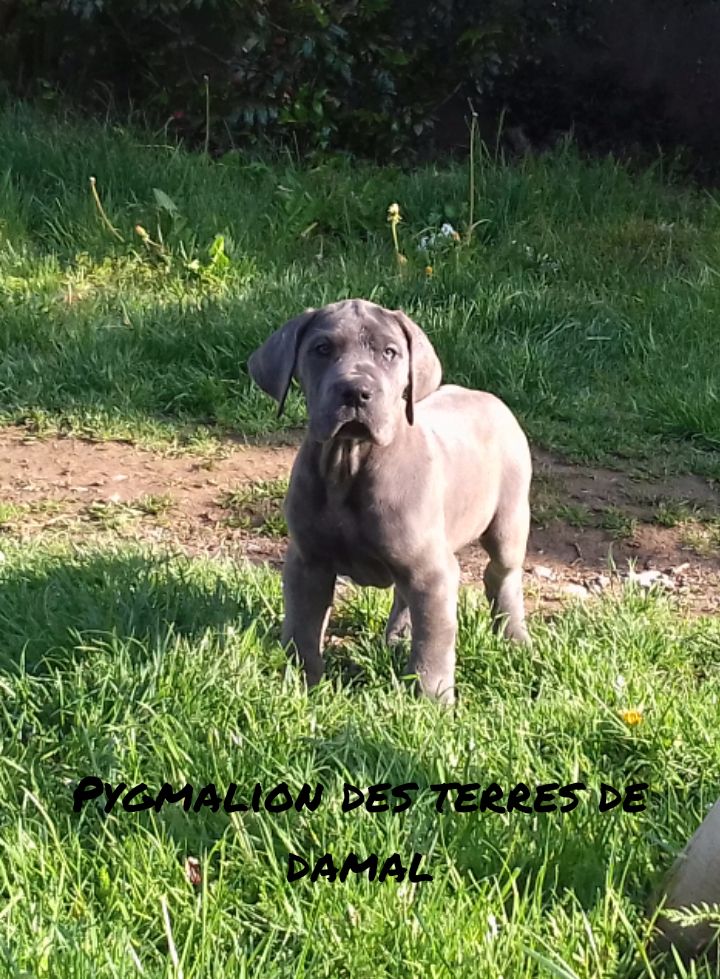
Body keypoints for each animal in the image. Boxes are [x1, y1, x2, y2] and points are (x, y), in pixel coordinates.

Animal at [248, 299, 532, 703]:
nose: (355, 391)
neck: (349, 463)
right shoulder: (307, 562)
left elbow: (434, 640)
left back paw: (514, 639)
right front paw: (303, 683)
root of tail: (487, 397)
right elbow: (303, 628)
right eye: (322, 349)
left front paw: (432, 699)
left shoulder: (433, 572)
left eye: (389, 352)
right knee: (404, 592)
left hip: (508, 518)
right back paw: (398, 635)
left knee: (501, 575)